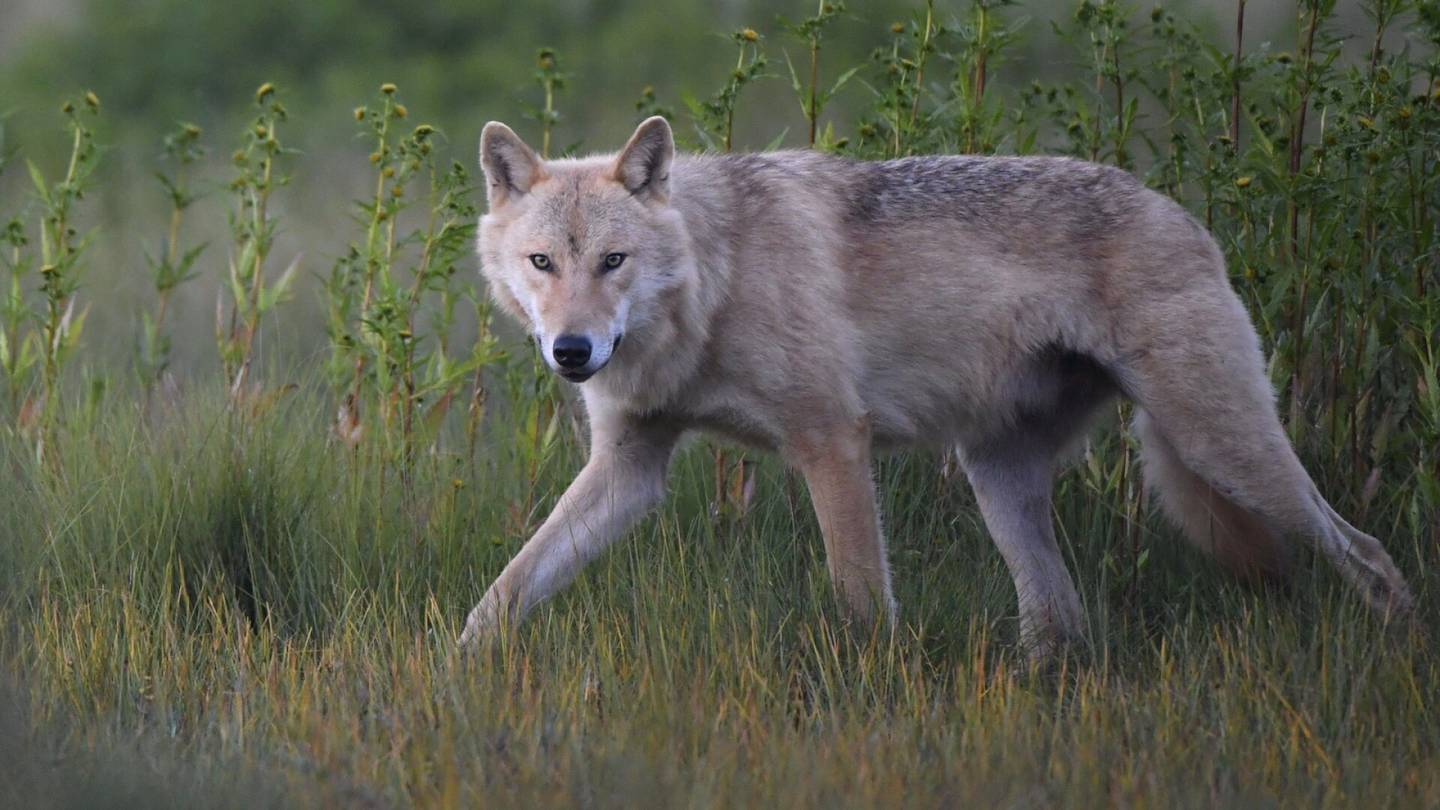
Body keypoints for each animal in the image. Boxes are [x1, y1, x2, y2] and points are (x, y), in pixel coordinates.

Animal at [460, 115, 1416, 657]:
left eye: (613, 262)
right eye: (542, 264)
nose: (573, 351)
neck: (713, 283)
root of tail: (1179, 210)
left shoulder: (831, 443)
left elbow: (860, 598)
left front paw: (870, 691)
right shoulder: (630, 467)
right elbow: (506, 589)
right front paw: (455, 675)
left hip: (1223, 448)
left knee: (1369, 554)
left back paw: (1402, 664)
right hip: (1003, 481)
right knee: (1061, 622)